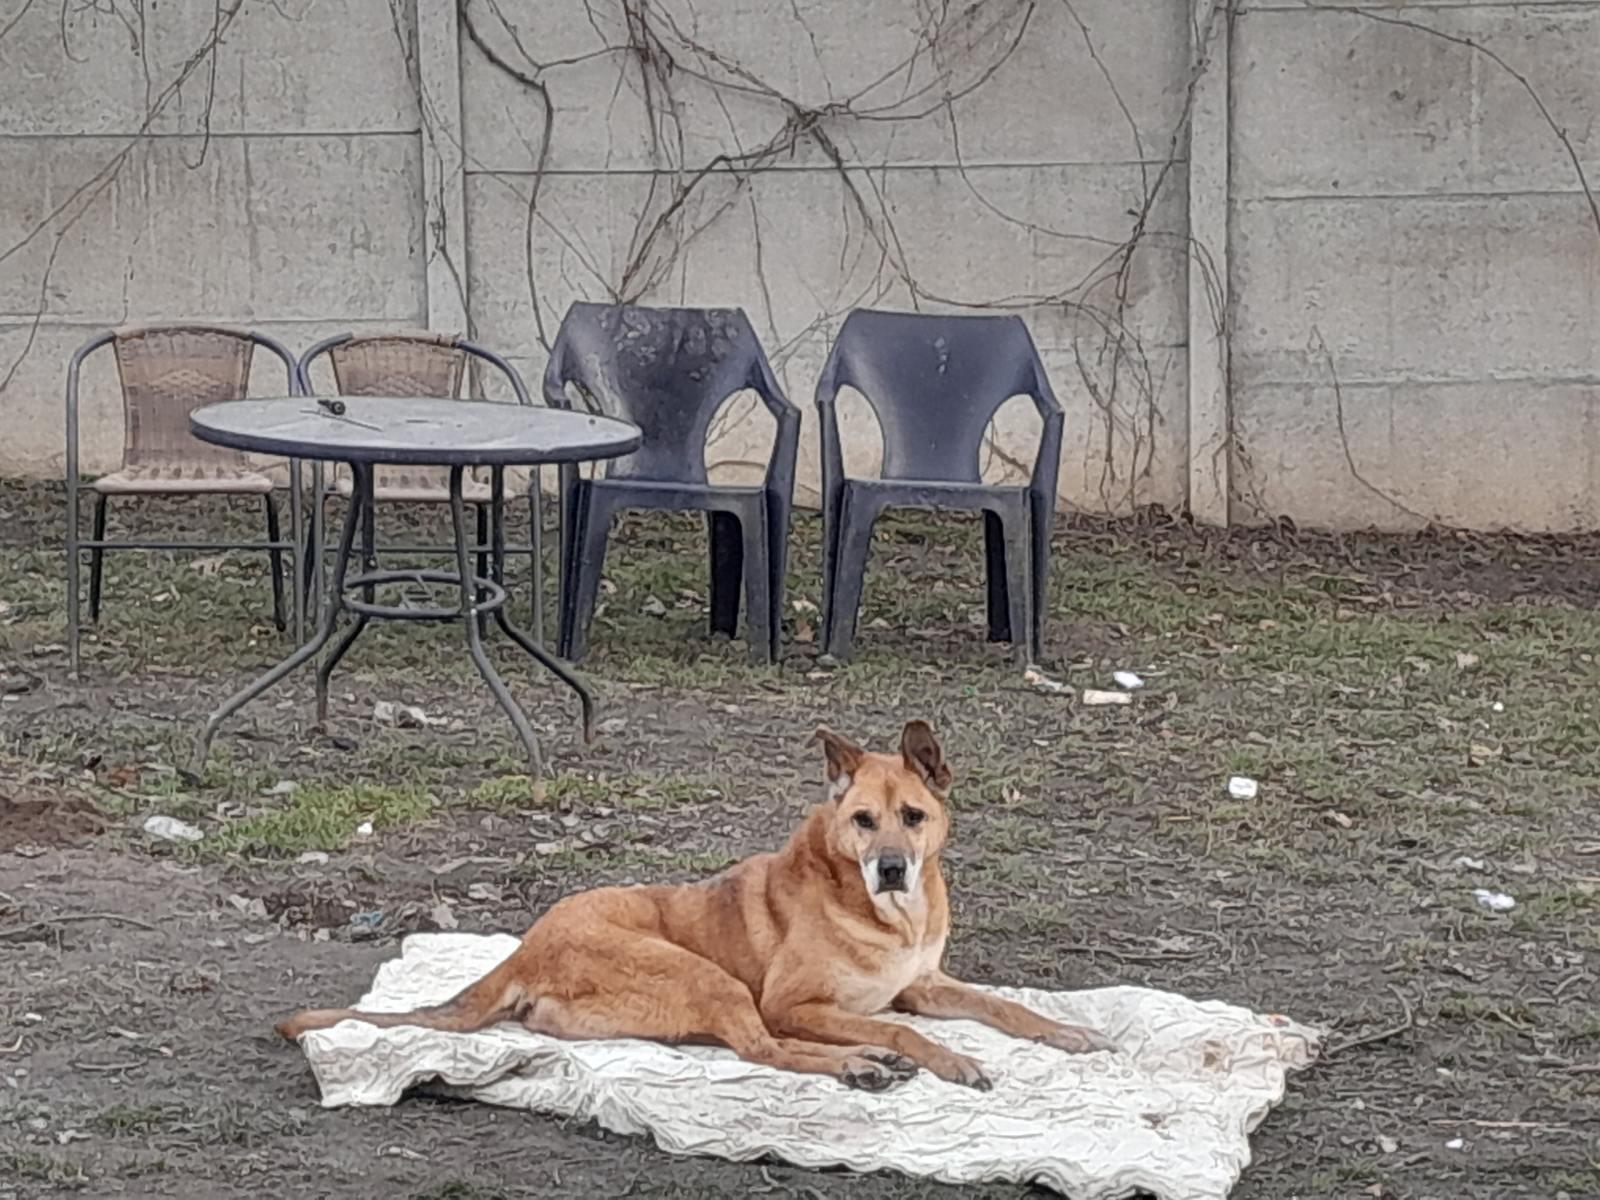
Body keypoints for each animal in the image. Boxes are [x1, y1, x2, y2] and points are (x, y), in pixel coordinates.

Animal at [276, 720, 1116, 1091]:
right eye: (861, 821)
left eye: (912, 816)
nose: (889, 869)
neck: (891, 915)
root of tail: (523, 949)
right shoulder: (793, 1002)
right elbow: (899, 1030)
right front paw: (949, 1058)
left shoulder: (925, 983)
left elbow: (1005, 1006)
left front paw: (1069, 1033)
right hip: (710, 976)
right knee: (762, 1050)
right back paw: (859, 1064)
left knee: (753, 1048)